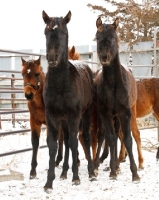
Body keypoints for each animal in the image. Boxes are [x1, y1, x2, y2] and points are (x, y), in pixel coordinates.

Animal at [41, 10, 95, 191]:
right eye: (46, 32)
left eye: (64, 33)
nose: (52, 57)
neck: (60, 84)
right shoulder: (52, 116)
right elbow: (53, 145)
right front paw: (49, 182)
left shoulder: (75, 115)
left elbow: (74, 142)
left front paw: (76, 177)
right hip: (64, 120)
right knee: (64, 141)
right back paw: (64, 172)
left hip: (86, 113)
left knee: (84, 138)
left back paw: (91, 172)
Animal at [94, 17, 140, 181]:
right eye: (97, 38)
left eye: (114, 37)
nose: (104, 57)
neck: (113, 84)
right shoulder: (105, 112)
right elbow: (111, 138)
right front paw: (113, 171)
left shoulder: (124, 112)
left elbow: (127, 139)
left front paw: (135, 173)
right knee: (104, 136)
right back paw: (100, 165)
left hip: (121, 115)